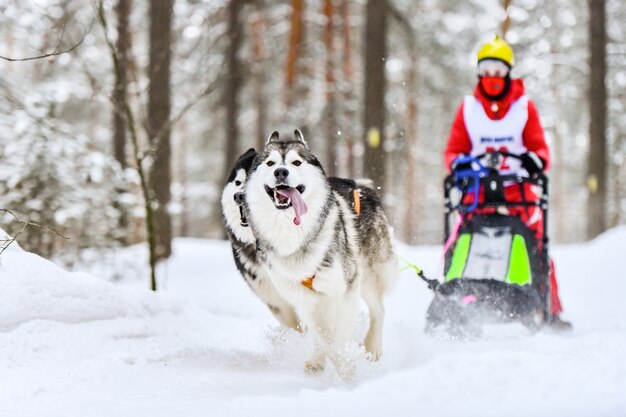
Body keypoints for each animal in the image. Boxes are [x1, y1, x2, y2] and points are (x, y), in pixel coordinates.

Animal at [243, 130, 394, 374]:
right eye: (270, 163)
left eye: (296, 162)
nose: (280, 172)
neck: (293, 234)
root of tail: (362, 187)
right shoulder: (304, 300)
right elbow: (324, 337)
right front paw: (324, 360)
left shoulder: (346, 290)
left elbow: (338, 338)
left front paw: (346, 371)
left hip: (368, 276)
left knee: (378, 309)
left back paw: (372, 347)